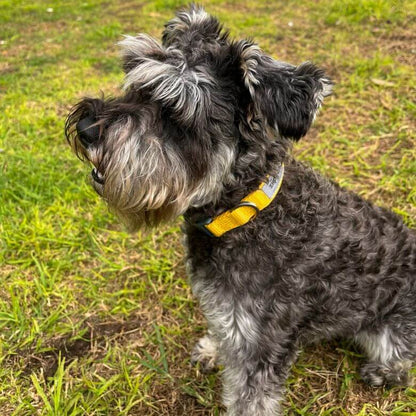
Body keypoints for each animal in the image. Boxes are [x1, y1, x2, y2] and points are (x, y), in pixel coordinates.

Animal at [66, 6, 416, 416]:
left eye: (175, 113)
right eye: (135, 82)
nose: (86, 128)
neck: (242, 210)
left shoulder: (259, 346)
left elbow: (249, 399)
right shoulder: (229, 315)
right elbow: (222, 331)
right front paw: (212, 348)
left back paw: (385, 370)